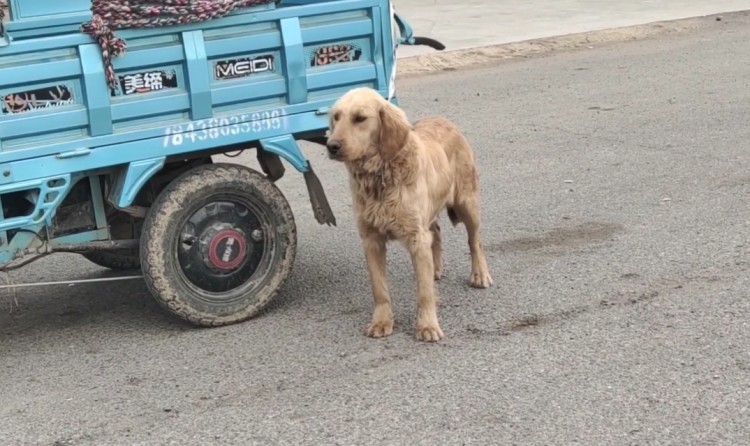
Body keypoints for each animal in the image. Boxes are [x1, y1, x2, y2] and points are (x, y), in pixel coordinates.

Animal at [328, 88, 494, 344]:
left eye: (360, 118)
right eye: (336, 117)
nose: (331, 145)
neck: (380, 176)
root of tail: (443, 119)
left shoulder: (416, 236)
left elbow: (424, 293)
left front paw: (427, 325)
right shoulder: (371, 239)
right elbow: (380, 289)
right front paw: (381, 322)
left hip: (467, 203)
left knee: (475, 241)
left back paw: (479, 274)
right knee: (436, 232)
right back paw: (435, 268)